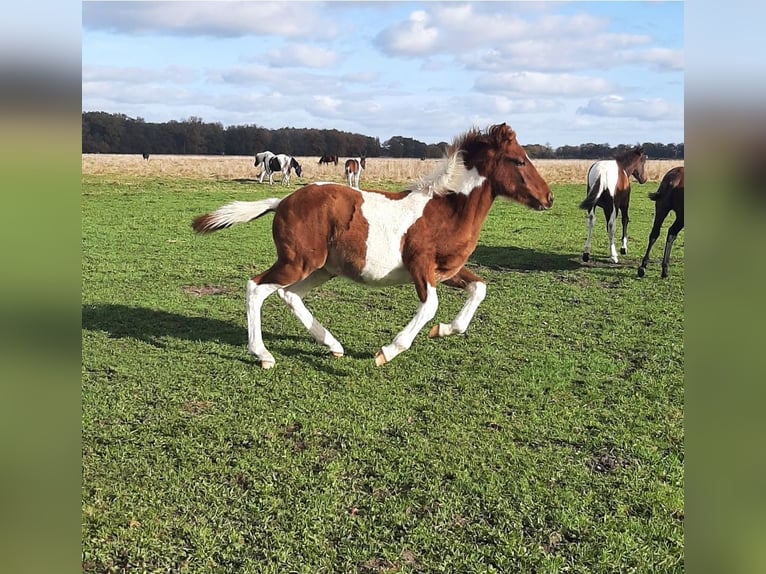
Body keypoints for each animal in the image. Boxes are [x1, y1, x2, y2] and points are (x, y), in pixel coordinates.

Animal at [191, 124, 552, 372]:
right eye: (519, 161)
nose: (549, 198)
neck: (446, 211)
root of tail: (282, 201)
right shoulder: (421, 267)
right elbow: (430, 306)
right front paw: (387, 351)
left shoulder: (448, 270)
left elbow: (479, 288)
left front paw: (444, 331)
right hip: (297, 262)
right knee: (256, 287)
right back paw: (263, 355)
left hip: (322, 269)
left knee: (289, 295)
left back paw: (333, 345)